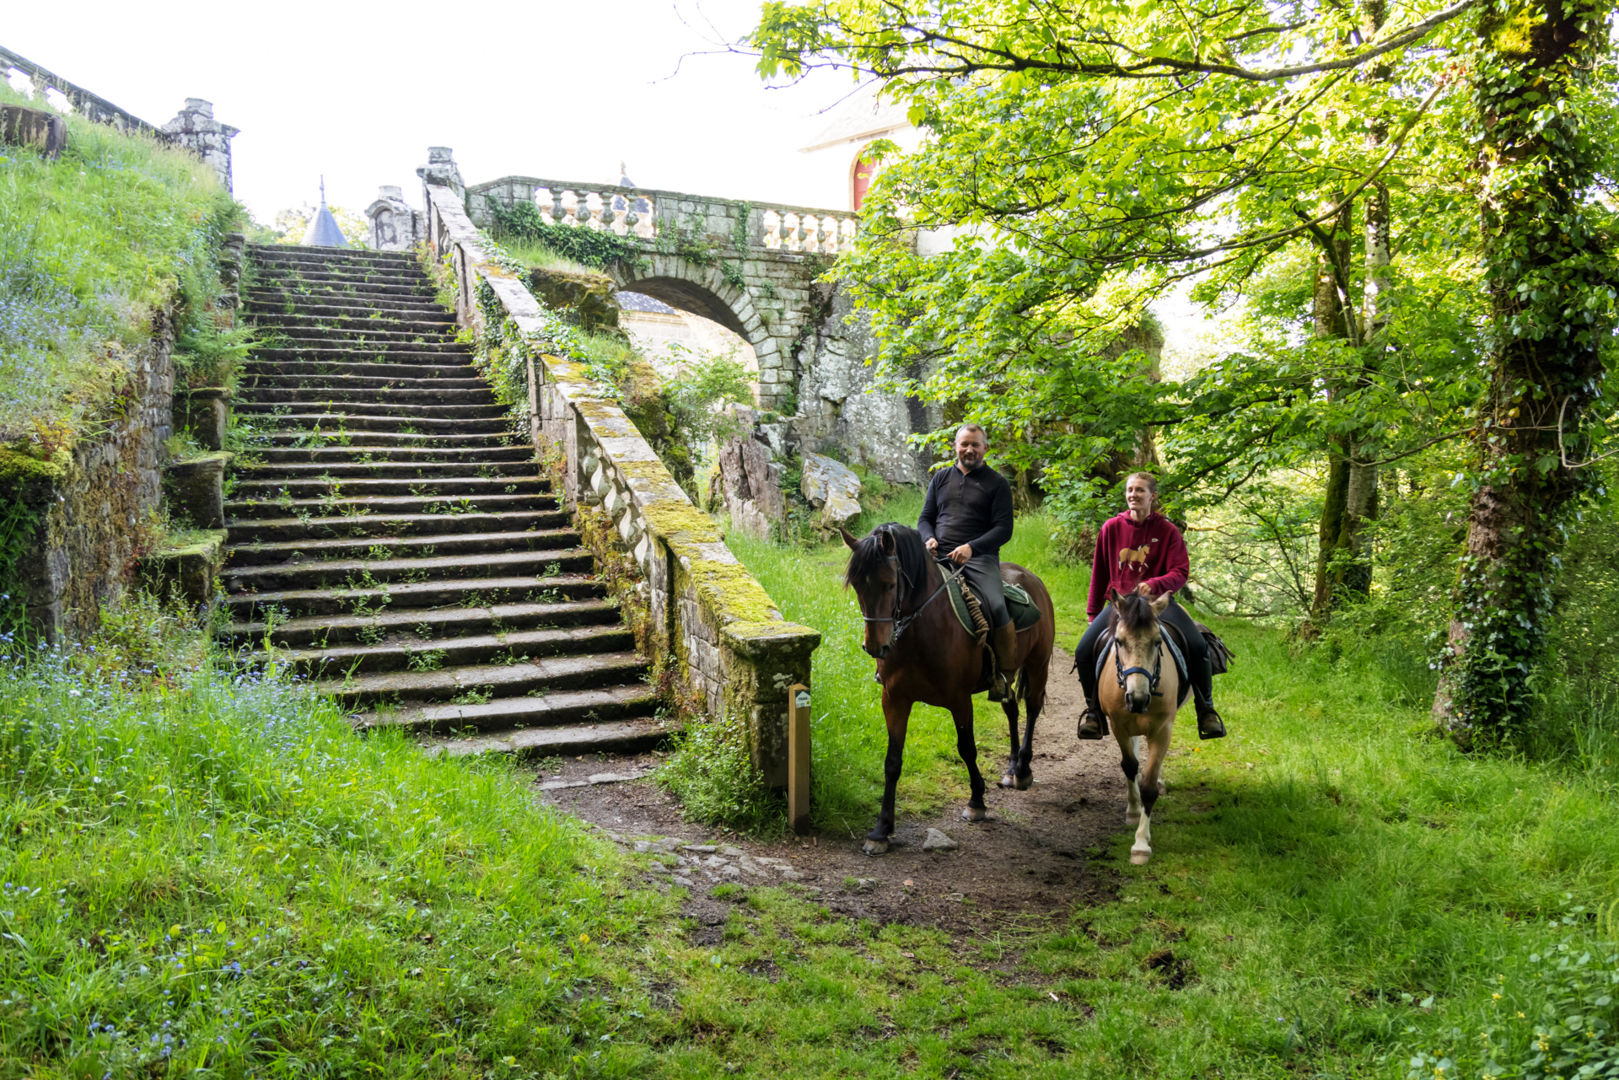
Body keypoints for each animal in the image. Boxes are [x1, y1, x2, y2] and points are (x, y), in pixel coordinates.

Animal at [841, 518, 1055, 854]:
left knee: (1032, 709)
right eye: (859, 586)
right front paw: (881, 830)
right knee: (1012, 710)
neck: (921, 632)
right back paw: (1011, 768)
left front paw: (977, 802)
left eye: (889, 584)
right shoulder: (895, 699)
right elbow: (892, 762)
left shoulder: (959, 699)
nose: (876, 647)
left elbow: (967, 749)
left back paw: (1022, 770)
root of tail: (1032, 579)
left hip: (1038, 663)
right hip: (1006, 676)